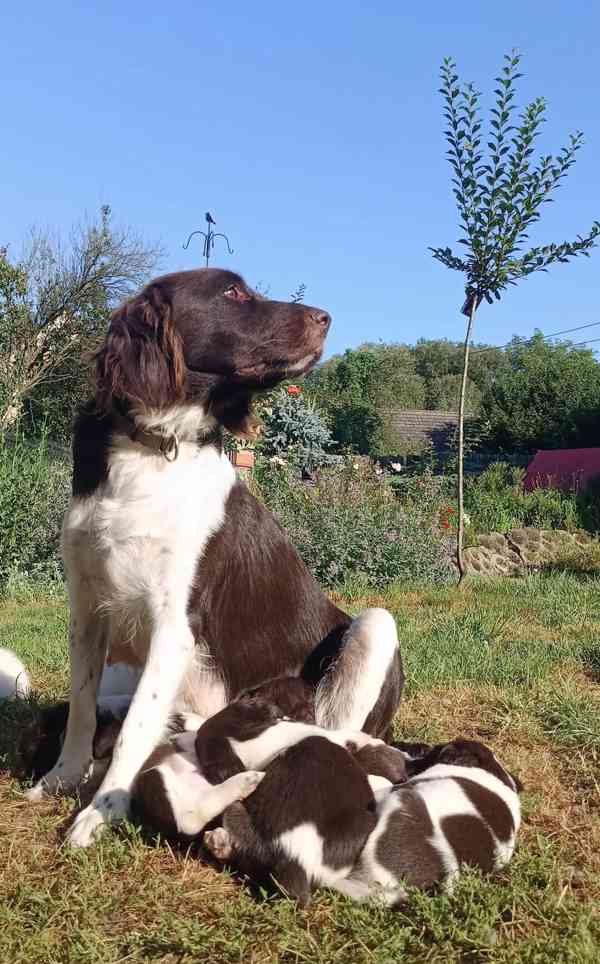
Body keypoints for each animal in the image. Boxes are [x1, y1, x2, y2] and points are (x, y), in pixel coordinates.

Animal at [27, 268, 404, 848]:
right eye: (232, 292)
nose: (325, 318)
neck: (156, 445)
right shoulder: (87, 608)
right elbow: (81, 710)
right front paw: (63, 777)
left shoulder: (175, 623)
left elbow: (135, 727)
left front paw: (102, 809)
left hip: (374, 627)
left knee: (341, 733)